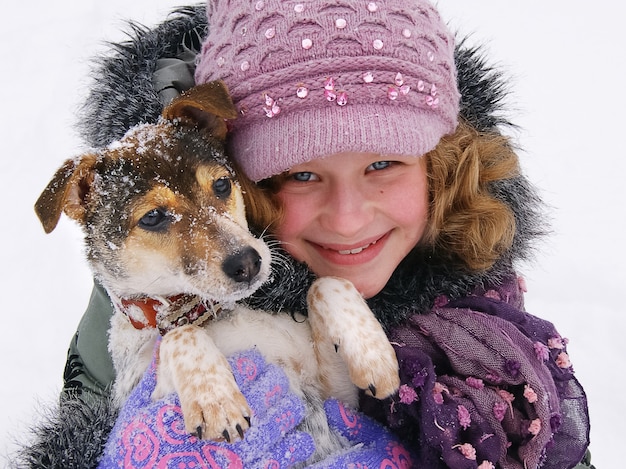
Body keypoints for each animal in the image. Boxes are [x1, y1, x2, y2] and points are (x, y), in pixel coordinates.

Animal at [34, 81, 398, 460]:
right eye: (152, 217)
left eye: (222, 184)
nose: (248, 262)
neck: (209, 313)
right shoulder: (142, 389)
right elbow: (178, 335)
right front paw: (216, 399)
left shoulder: (335, 395)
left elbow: (327, 283)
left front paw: (374, 356)